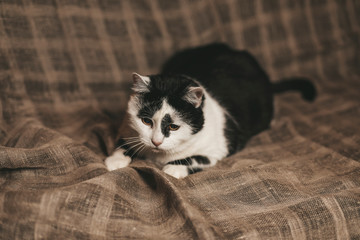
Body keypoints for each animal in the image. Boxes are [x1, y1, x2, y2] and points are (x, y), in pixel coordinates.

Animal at [104, 43, 316, 178]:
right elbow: (123, 143)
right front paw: (115, 160)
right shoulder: (126, 127)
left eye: (173, 127)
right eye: (146, 121)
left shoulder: (221, 147)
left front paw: (173, 169)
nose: (156, 142)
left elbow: (195, 158)